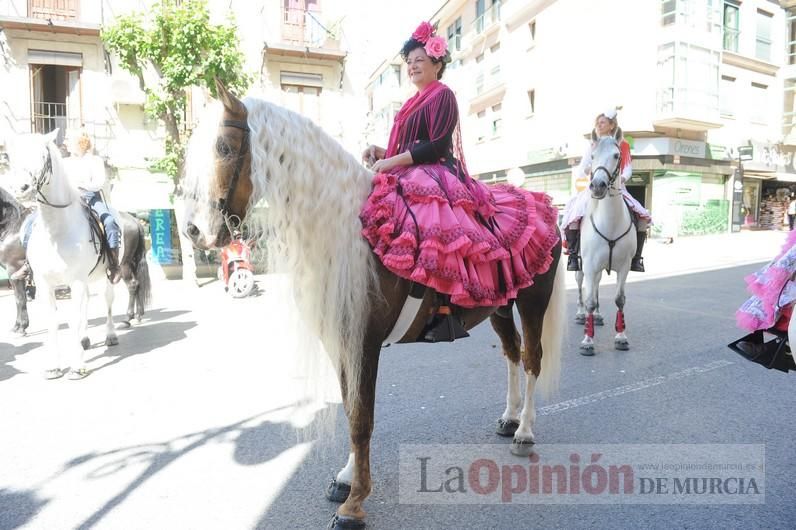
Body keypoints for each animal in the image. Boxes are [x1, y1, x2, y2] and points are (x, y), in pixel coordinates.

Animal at [5, 130, 152, 378]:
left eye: (43, 155)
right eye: (11, 156)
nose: (21, 188)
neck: (56, 231)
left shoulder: (75, 280)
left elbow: (72, 318)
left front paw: (77, 365)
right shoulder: (44, 284)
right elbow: (53, 321)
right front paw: (54, 366)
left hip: (113, 272)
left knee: (109, 300)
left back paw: (112, 333)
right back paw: (84, 339)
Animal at [180, 80, 564, 524]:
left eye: (224, 147)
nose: (193, 230)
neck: (347, 228)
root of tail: (546, 206)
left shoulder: (363, 341)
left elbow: (361, 417)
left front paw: (354, 503)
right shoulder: (340, 341)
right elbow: (350, 408)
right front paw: (347, 477)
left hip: (533, 302)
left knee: (533, 358)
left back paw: (525, 431)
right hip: (499, 306)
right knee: (512, 353)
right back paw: (509, 417)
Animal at [576, 129, 636, 354]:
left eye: (617, 155)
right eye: (592, 156)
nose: (598, 186)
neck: (610, 222)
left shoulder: (625, 266)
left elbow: (619, 299)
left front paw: (621, 336)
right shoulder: (589, 264)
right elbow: (589, 300)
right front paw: (587, 340)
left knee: (597, 286)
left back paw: (598, 316)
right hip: (581, 265)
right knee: (582, 286)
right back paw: (581, 313)